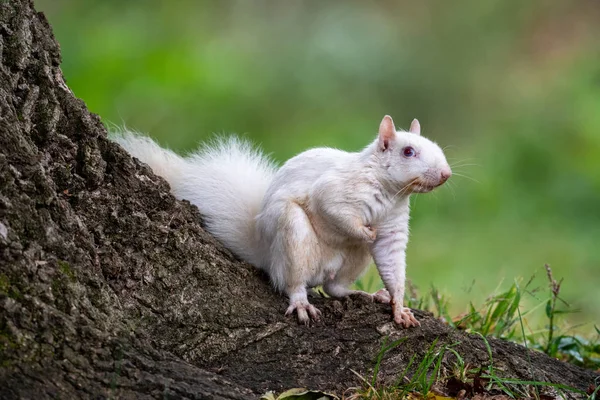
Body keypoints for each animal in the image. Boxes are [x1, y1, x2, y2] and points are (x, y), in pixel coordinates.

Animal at [112, 115, 450, 328]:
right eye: (408, 151)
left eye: (437, 146)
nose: (446, 174)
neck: (391, 192)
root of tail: (267, 255)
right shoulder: (335, 191)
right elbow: (333, 210)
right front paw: (364, 231)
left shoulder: (394, 224)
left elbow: (392, 261)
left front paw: (398, 306)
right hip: (293, 236)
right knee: (293, 283)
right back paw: (301, 301)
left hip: (352, 261)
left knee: (335, 288)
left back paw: (363, 294)